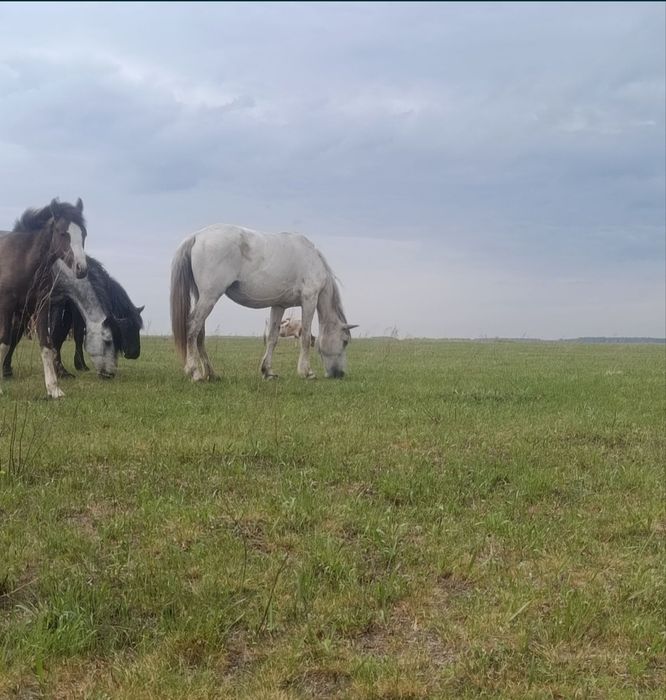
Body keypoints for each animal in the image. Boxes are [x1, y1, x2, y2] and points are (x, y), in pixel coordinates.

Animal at [0, 199, 88, 398]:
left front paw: (54, 389)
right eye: (63, 233)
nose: (81, 268)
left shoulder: (41, 306)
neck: (24, 259)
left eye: (84, 234)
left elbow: (47, 345)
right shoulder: (6, 307)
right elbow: (4, 343)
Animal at [171, 224, 357, 381]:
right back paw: (194, 372)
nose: (339, 374)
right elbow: (305, 337)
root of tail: (197, 236)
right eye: (345, 341)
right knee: (192, 327)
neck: (312, 258)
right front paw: (306, 372)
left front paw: (268, 371)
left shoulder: (279, 305)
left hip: (202, 297)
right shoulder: (309, 300)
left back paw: (210, 373)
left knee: (199, 333)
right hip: (209, 297)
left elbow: (272, 338)